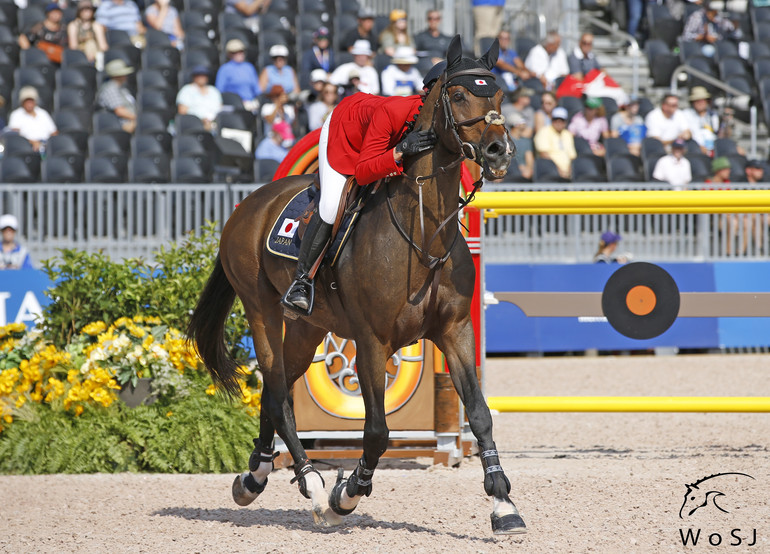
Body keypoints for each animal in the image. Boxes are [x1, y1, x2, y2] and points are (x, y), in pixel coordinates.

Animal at [186, 35, 524, 536]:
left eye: (498, 95)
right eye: (461, 95)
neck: (422, 232)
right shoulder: (371, 342)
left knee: (275, 389)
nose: (500, 151)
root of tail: (247, 205)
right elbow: (378, 430)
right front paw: (347, 494)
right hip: (261, 309)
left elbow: (480, 415)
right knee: (277, 389)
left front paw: (503, 504)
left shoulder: (455, 331)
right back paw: (312, 484)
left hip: (306, 328)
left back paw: (255, 474)